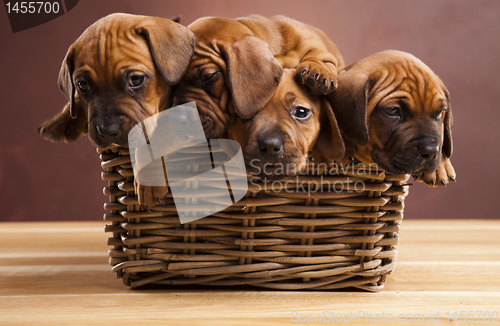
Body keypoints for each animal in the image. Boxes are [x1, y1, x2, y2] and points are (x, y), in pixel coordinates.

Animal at [173, 14, 344, 139]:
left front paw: (318, 71)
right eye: (172, 83)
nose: (177, 118)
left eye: (208, 77)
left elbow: (319, 58)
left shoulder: (320, 50)